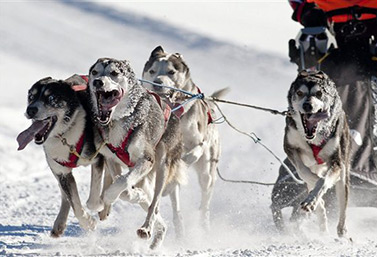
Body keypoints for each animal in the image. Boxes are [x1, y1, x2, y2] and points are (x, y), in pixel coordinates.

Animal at [16, 75, 106, 237]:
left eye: (51, 97)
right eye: (31, 97)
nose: (30, 109)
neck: (64, 135)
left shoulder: (98, 158)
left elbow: (94, 199)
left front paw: (99, 207)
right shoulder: (62, 172)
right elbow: (75, 204)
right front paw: (88, 222)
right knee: (65, 196)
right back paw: (59, 223)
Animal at [86, 56, 184, 248]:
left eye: (114, 73)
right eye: (94, 72)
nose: (97, 82)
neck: (117, 119)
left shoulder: (146, 159)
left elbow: (122, 182)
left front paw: (111, 195)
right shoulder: (111, 159)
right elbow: (122, 187)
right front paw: (133, 195)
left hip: (161, 165)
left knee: (155, 204)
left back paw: (146, 228)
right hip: (143, 176)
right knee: (151, 203)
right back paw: (158, 232)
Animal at [284, 69, 352, 237]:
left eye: (319, 93)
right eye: (300, 93)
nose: (307, 105)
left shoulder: (337, 162)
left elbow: (323, 181)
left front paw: (313, 197)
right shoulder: (289, 147)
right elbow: (304, 172)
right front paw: (313, 198)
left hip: (344, 176)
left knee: (342, 206)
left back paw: (341, 231)